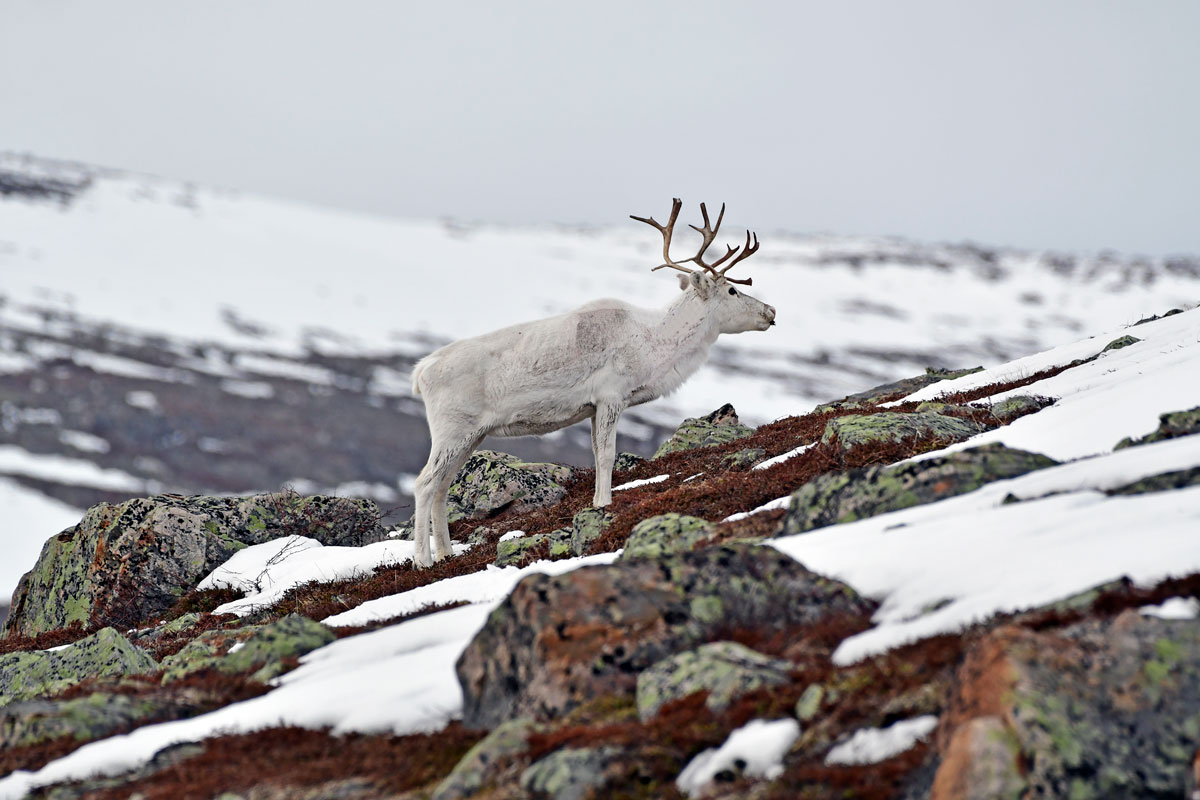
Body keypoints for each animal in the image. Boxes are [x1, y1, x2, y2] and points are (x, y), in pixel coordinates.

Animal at [408, 199, 776, 567]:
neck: (655, 345)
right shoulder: (611, 395)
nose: (771, 311)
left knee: (443, 486)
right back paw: (423, 560)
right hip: (451, 429)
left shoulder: (593, 407)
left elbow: (598, 452)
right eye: (732, 289)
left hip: (472, 435)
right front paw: (605, 504)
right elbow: (608, 454)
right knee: (424, 483)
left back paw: (445, 554)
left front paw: (598, 501)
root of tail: (420, 374)